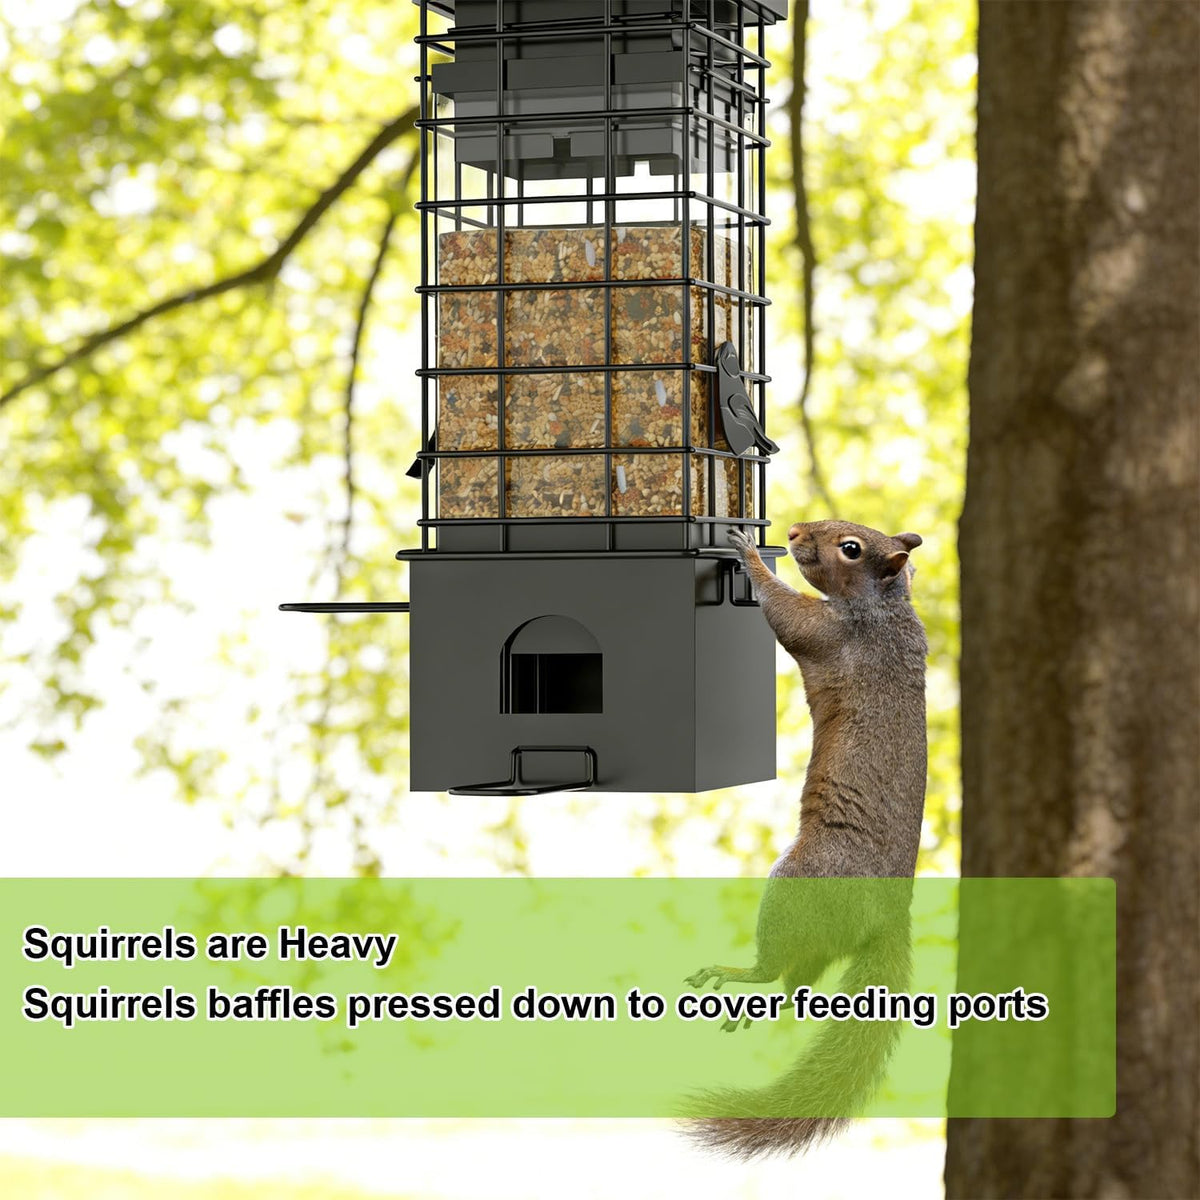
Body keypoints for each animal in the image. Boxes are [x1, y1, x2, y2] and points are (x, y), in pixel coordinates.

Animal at [685, 520, 928, 1159]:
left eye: (851, 549)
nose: (792, 530)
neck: (882, 611)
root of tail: (889, 915)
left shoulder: (830, 634)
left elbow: (786, 614)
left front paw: (749, 553)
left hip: (800, 879)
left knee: (781, 967)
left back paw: (743, 976)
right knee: (799, 979)